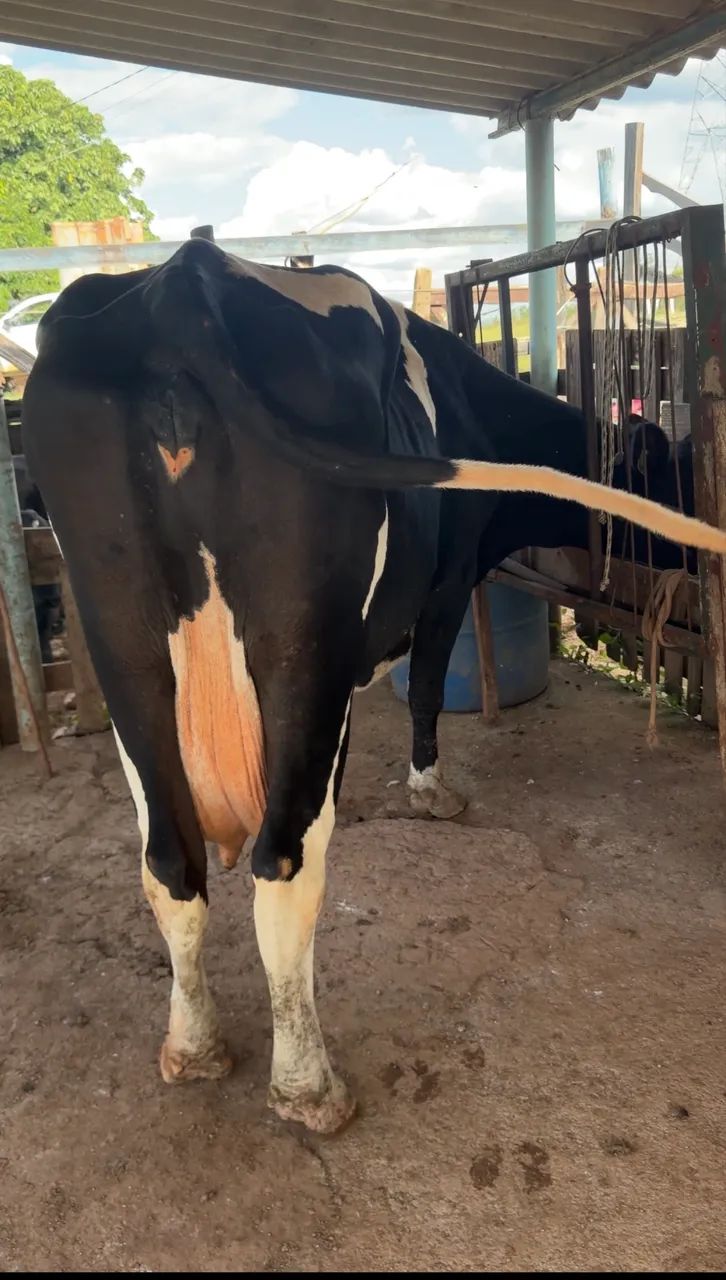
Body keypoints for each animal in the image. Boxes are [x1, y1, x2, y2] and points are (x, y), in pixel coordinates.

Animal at [22, 240, 725, 1133]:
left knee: (169, 863)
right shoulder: (449, 581)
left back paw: (194, 1047)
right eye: (675, 470)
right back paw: (308, 1087)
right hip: (305, 653)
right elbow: (425, 686)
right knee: (284, 863)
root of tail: (180, 282)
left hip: (125, 648)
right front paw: (432, 789)